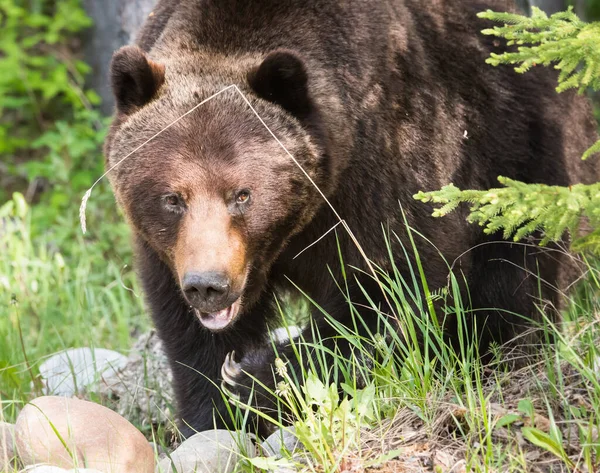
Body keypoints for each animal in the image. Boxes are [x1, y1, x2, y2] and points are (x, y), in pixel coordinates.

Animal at [105, 0, 596, 436]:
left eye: (241, 194)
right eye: (173, 198)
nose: (209, 285)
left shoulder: (388, 166)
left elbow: (389, 295)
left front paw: (254, 374)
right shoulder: (169, 252)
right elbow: (188, 332)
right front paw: (213, 410)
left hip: (523, 165)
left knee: (518, 279)